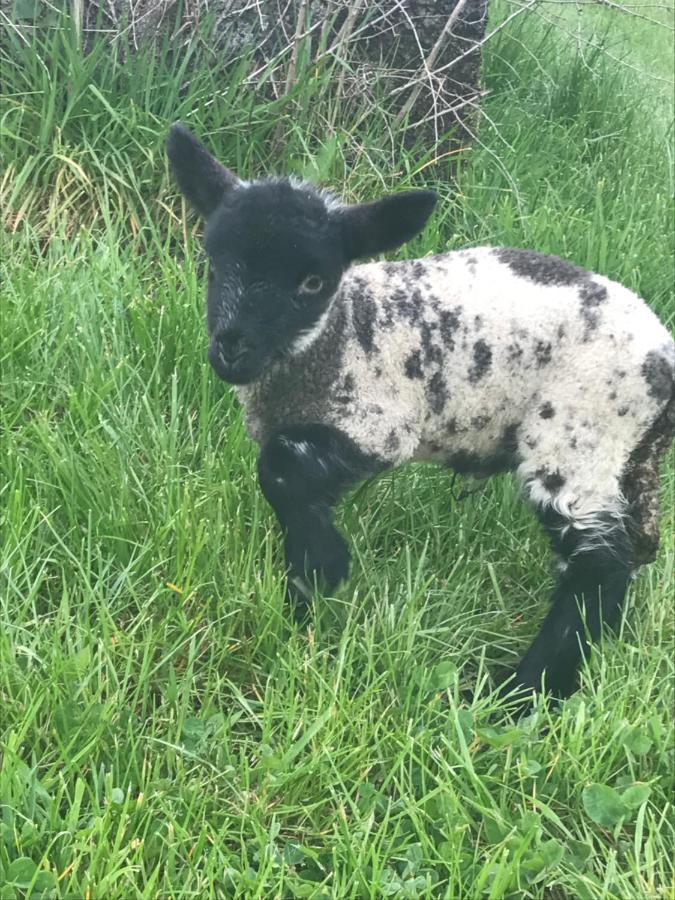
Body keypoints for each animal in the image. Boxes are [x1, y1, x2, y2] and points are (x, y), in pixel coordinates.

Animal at [168, 123, 675, 708]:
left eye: (312, 282)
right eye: (214, 264)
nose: (231, 350)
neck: (341, 333)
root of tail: (664, 357)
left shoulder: (380, 423)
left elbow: (280, 468)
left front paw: (324, 573)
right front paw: (302, 599)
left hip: (578, 427)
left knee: (598, 563)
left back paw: (525, 693)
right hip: (629, 452)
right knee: (635, 544)